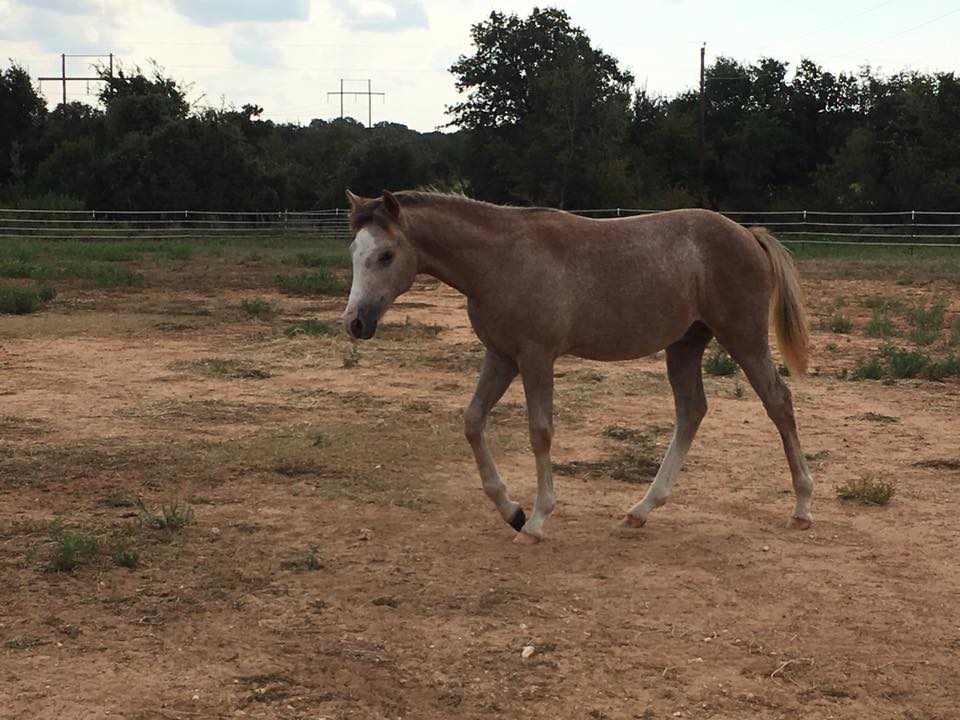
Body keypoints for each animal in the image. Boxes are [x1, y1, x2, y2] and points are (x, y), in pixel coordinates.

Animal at [340, 190, 813, 545]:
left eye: (385, 254)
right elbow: (473, 422)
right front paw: (510, 510)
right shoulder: (501, 356)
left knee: (778, 402)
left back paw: (802, 507)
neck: (500, 260)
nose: (355, 322)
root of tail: (748, 234)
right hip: (685, 345)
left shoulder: (536, 357)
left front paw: (535, 521)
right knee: (692, 411)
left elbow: (540, 433)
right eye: (353, 252)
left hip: (744, 338)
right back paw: (642, 509)